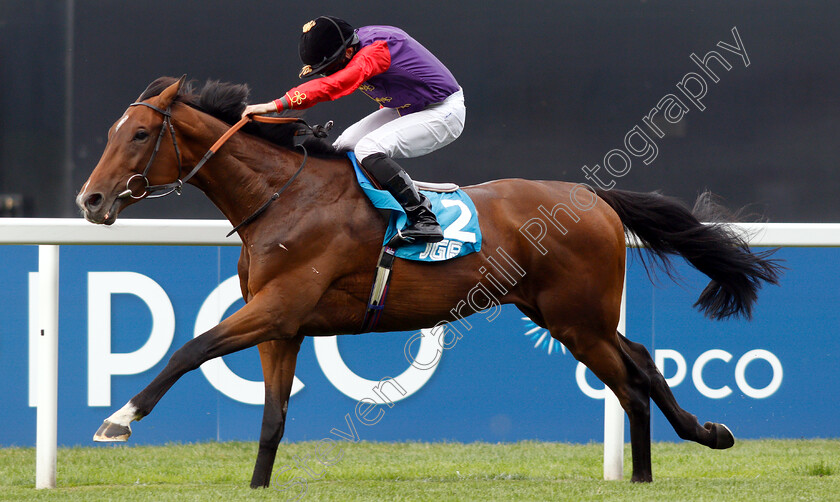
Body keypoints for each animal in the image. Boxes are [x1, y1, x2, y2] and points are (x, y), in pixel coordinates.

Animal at [75, 75, 776, 486]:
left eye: (141, 133)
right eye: (112, 131)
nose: (90, 200)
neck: (283, 196)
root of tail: (593, 196)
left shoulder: (277, 309)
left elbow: (189, 350)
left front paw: (119, 419)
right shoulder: (283, 326)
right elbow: (272, 419)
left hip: (579, 317)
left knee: (635, 375)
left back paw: (679, 451)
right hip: (568, 315)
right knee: (640, 368)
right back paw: (672, 456)